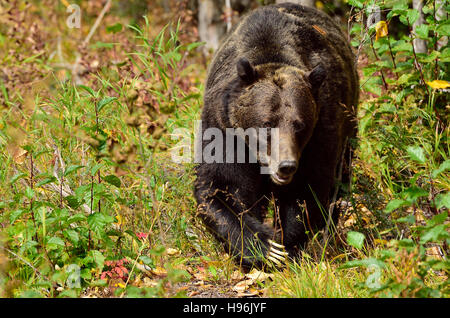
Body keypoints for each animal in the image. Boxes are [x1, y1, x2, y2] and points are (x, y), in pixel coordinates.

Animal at [193, 3, 358, 270]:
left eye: (299, 125)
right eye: (267, 123)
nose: (286, 166)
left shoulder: (321, 131)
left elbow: (308, 190)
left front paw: (286, 246)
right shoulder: (224, 130)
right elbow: (221, 186)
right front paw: (268, 248)